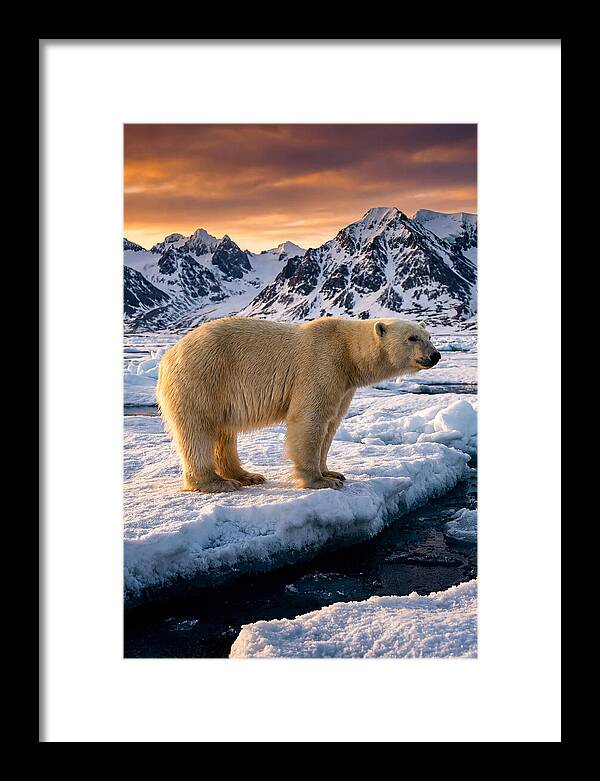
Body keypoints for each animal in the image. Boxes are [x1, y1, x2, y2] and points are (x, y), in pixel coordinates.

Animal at [156, 316, 441, 492]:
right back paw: (216, 483)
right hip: (203, 377)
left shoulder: (344, 385)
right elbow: (310, 420)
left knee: (224, 432)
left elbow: (331, 424)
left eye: (428, 336)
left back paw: (246, 475)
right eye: (412, 338)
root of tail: (168, 355)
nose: (435, 355)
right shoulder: (322, 364)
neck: (348, 352)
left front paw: (332, 472)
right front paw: (320, 481)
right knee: (198, 429)